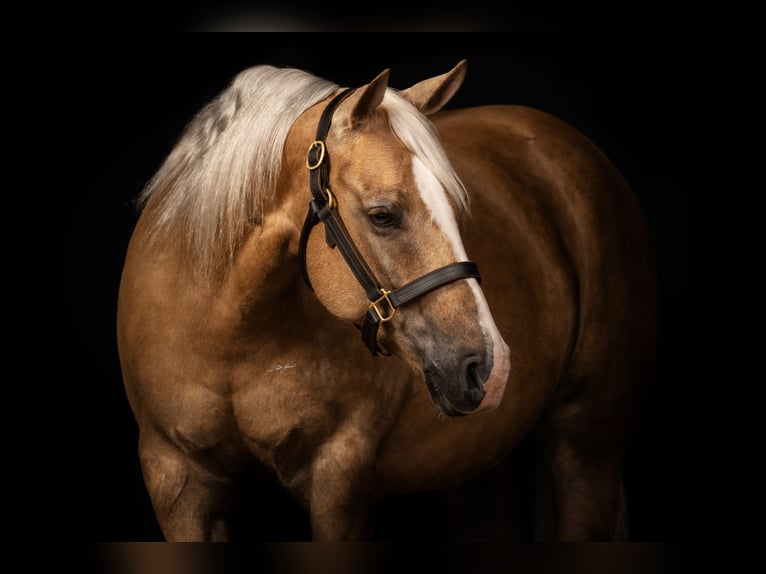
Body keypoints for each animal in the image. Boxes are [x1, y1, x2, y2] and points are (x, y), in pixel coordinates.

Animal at [116, 60, 658, 541]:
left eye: (459, 208)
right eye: (383, 215)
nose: (492, 366)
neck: (229, 336)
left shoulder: (339, 480)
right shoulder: (176, 480)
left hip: (587, 449)